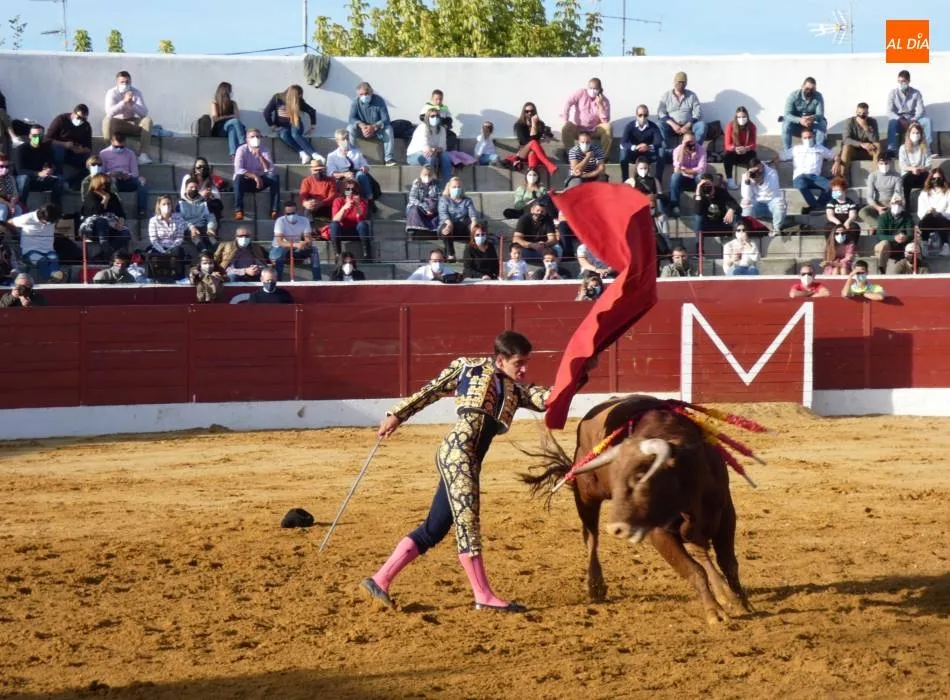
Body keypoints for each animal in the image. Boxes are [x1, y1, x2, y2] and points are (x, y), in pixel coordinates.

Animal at [522, 394, 754, 624]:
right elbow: (694, 570)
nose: (616, 528)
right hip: (586, 497)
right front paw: (715, 612)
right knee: (591, 537)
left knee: (702, 551)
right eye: (615, 478)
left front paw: (741, 602)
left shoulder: (726, 512)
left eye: (640, 477)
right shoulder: (658, 532)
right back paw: (596, 586)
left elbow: (728, 563)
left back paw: (725, 594)